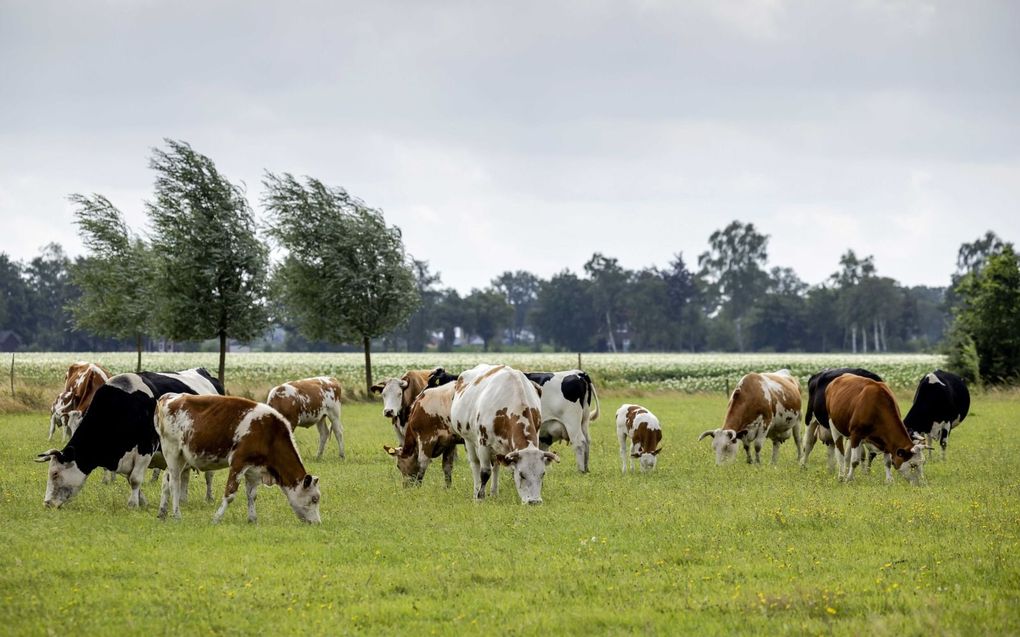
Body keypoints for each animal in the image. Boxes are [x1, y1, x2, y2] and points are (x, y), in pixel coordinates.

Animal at [35, 366, 223, 507]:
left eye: (55, 474)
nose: (47, 503)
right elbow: (129, 478)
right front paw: (142, 501)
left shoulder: (145, 448)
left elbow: (135, 479)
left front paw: (133, 504)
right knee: (184, 474)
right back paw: (182, 500)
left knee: (209, 475)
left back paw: (209, 498)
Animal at [155, 393, 320, 521]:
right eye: (314, 499)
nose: (317, 523)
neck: (269, 433)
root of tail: (169, 397)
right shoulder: (238, 462)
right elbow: (230, 494)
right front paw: (216, 518)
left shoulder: (254, 468)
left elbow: (252, 495)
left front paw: (252, 519)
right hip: (172, 451)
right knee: (174, 483)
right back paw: (177, 515)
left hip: (180, 457)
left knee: (166, 480)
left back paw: (162, 513)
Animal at [448, 364, 558, 503]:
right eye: (521, 474)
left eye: (542, 474)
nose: (534, 502)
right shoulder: (483, 444)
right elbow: (485, 472)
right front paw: (480, 498)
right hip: (469, 440)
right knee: (475, 465)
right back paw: (476, 492)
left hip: (497, 448)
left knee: (496, 466)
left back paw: (494, 493)